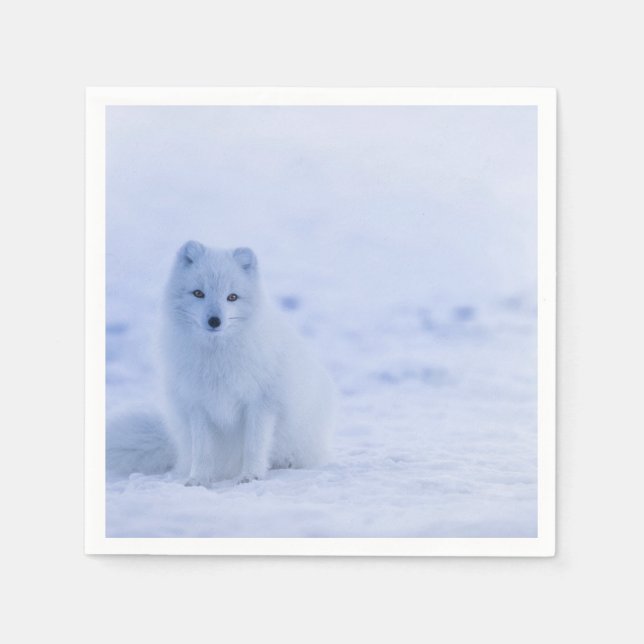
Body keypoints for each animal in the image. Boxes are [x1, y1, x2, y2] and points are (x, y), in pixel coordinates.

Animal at [106, 241, 338, 487]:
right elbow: (202, 451)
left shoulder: (261, 403)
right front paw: (198, 480)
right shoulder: (197, 405)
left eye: (232, 297)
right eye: (199, 293)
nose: (214, 321)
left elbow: (254, 446)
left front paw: (251, 476)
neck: (217, 358)